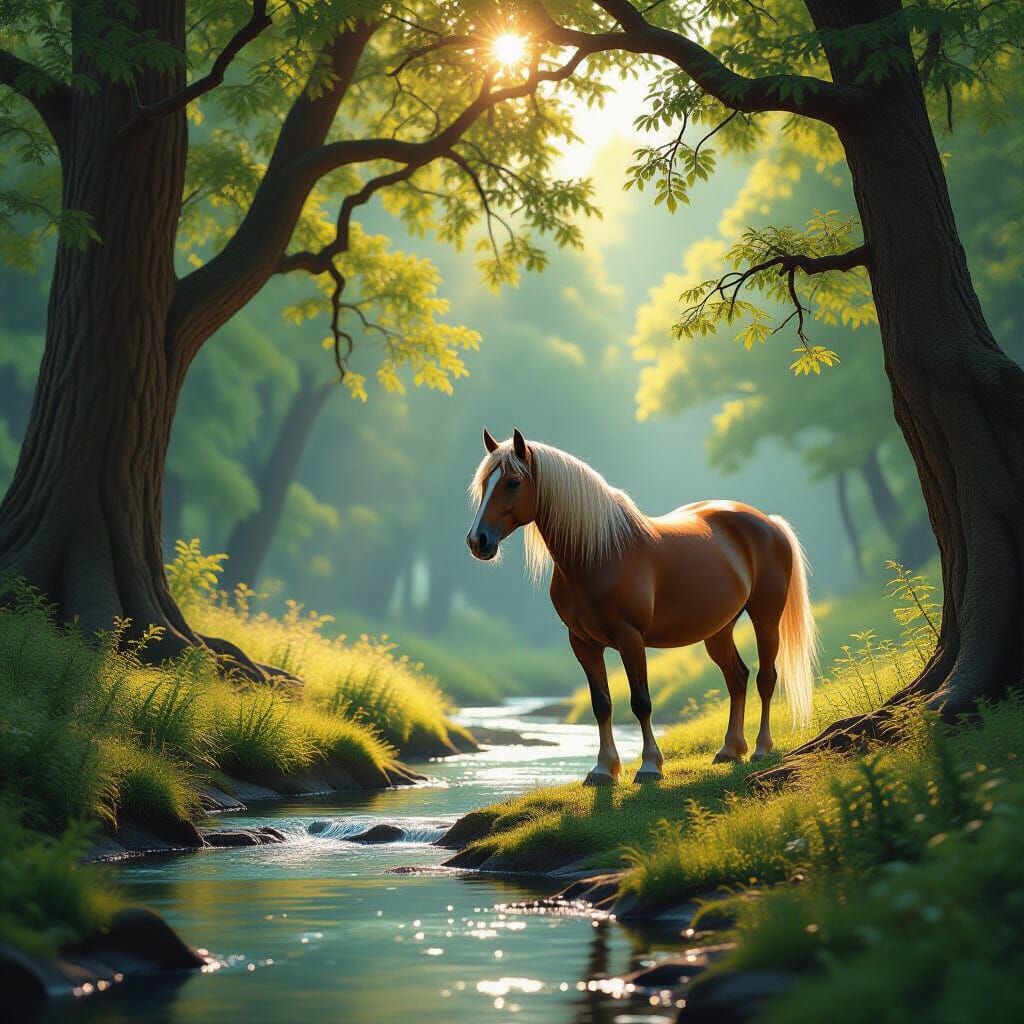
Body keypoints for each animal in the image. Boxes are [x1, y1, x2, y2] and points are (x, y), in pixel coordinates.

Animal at [466, 428, 818, 786]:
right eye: (484, 483)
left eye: (513, 482)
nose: (477, 541)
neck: (600, 553)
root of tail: (768, 522)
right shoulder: (582, 643)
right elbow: (601, 704)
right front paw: (603, 769)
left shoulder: (630, 638)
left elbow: (640, 702)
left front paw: (649, 766)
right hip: (719, 630)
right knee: (737, 678)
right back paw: (730, 750)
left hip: (765, 618)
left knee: (765, 678)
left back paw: (760, 748)